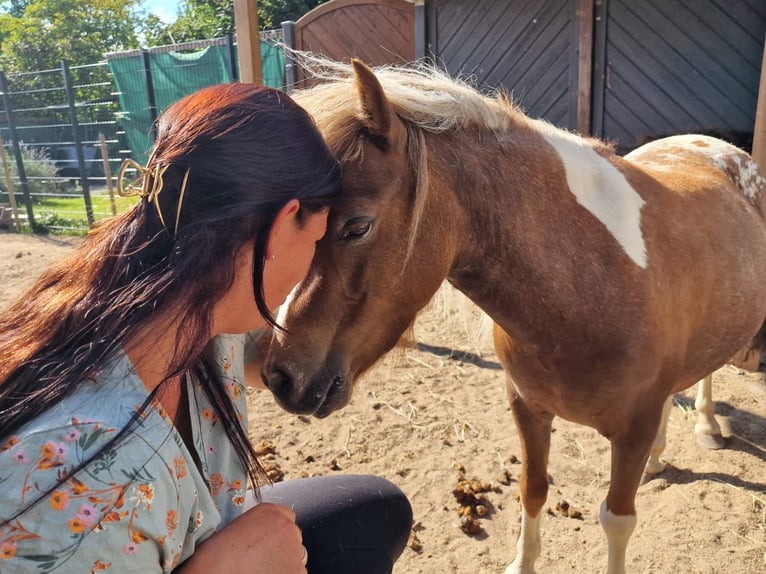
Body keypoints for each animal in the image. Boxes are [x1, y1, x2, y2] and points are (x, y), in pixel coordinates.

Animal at [260, 59, 766, 574]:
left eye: (357, 225)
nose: (281, 376)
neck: (592, 281)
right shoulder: (527, 407)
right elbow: (533, 490)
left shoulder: (632, 431)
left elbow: (617, 519)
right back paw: (660, 459)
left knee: (707, 374)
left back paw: (706, 426)